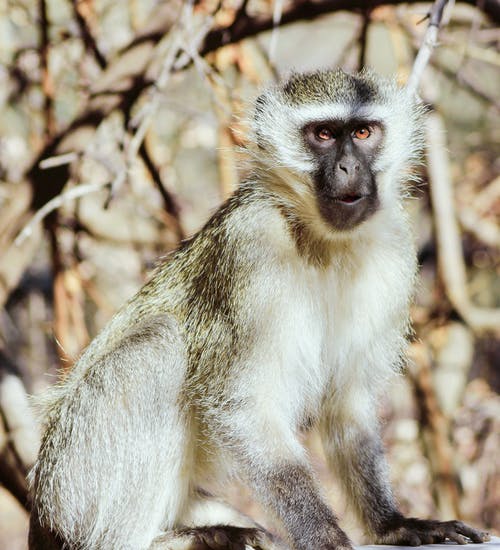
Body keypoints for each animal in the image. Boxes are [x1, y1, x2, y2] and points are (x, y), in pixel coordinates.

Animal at [28, 71, 488, 550]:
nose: (349, 168)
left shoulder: (394, 251)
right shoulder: (252, 244)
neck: (323, 241)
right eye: (323, 134)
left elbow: (348, 402)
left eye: (363, 133)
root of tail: (43, 514)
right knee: (156, 346)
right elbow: (244, 407)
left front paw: (392, 525)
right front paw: (324, 536)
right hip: (75, 484)